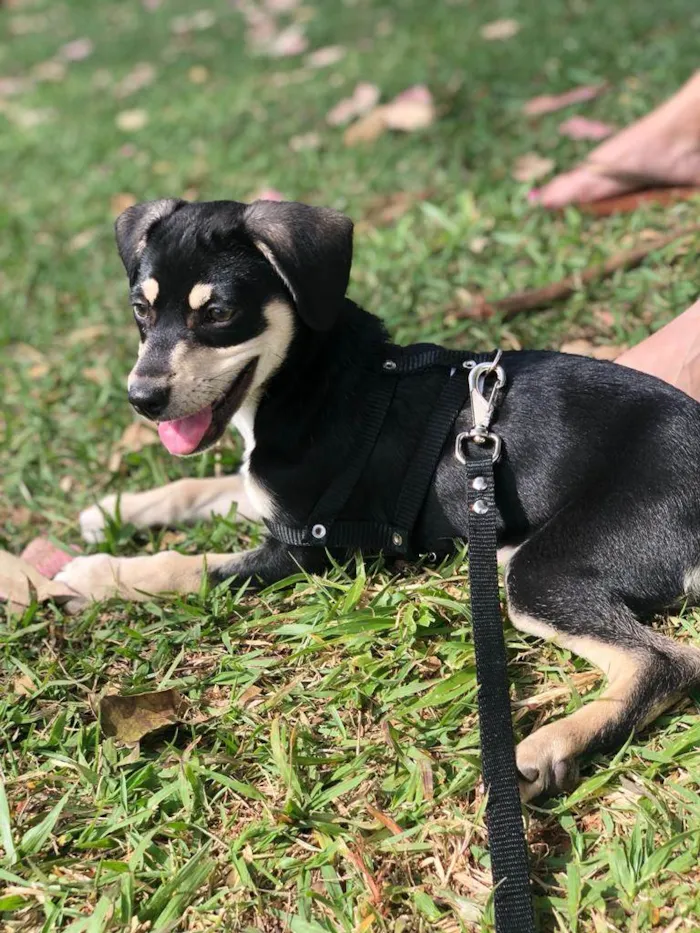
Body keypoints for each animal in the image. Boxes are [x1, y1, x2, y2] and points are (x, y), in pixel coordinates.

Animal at [56, 198, 700, 800]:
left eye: (218, 314)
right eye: (141, 311)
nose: (142, 398)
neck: (309, 378)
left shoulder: (306, 548)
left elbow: (179, 567)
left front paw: (88, 577)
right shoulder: (270, 497)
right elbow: (200, 486)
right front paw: (110, 512)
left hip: (543, 568)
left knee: (667, 664)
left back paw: (547, 747)